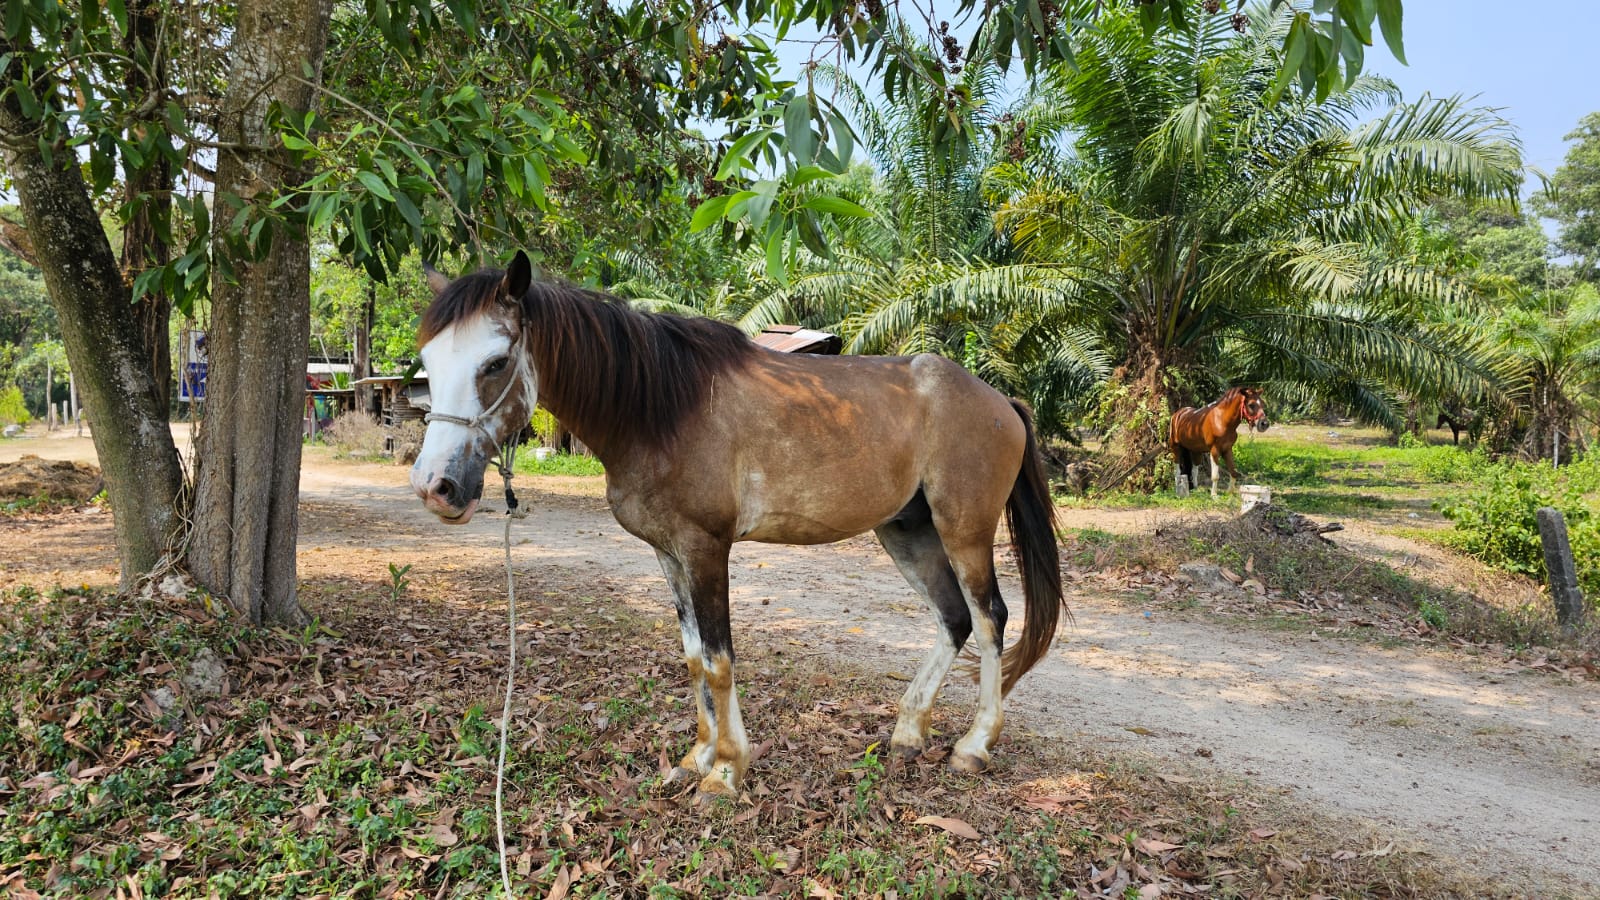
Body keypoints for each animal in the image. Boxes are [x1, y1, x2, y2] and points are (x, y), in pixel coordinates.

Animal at [408, 252, 1066, 797]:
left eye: (495, 362)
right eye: (428, 363)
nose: (436, 487)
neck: (659, 409)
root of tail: (1001, 402)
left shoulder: (705, 549)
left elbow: (721, 661)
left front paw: (725, 772)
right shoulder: (668, 554)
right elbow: (695, 658)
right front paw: (696, 758)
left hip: (964, 532)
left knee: (990, 619)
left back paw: (974, 746)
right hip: (907, 531)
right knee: (953, 619)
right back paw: (908, 734)